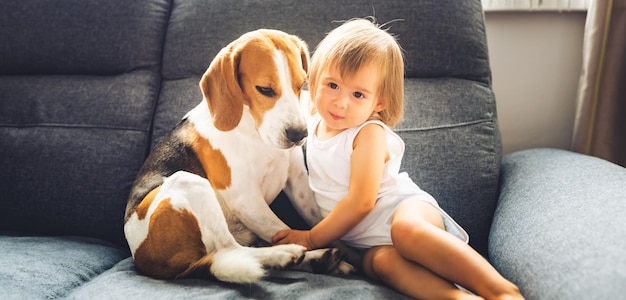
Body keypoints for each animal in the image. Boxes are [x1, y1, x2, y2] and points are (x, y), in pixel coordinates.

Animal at [123, 28, 352, 284]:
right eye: (264, 89)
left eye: (301, 84)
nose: (299, 134)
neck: (254, 132)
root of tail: (144, 261)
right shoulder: (247, 200)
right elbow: (282, 229)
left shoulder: (298, 184)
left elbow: (318, 224)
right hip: (188, 182)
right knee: (231, 249)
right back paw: (285, 254)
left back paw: (318, 260)